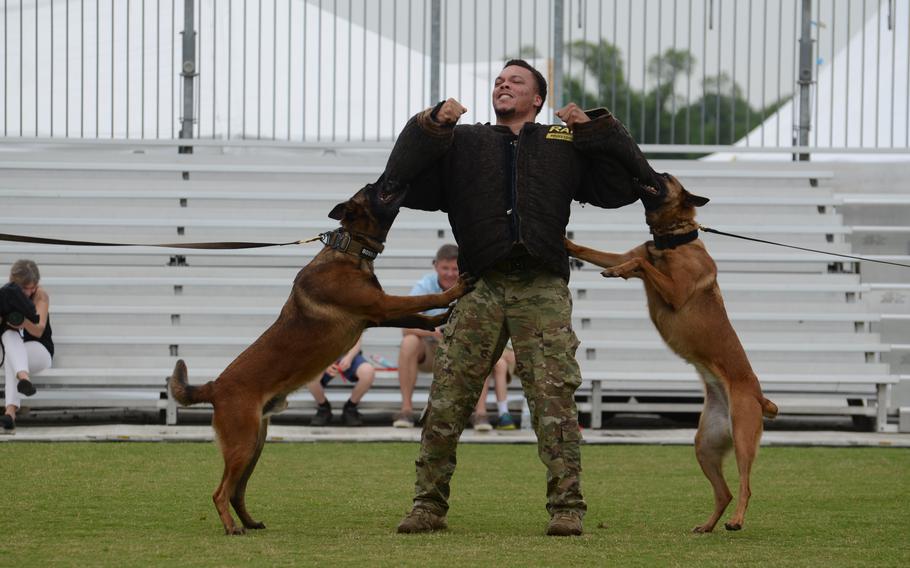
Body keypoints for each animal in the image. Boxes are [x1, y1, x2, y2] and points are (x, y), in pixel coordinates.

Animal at [167, 180, 474, 536]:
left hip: (255, 445)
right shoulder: (381, 306)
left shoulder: (377, 315)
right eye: (373, 189)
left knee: (236, 491)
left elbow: (419, 317)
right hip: (242, 444)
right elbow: (424, 298)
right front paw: (453, 293)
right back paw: (232, 528)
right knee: (220, 492)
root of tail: (214, 386)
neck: (350, 249)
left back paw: (249, 521)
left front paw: (442, 318)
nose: (386, 180)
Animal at [568, 172, 776, 532]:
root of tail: (758, 396)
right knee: (723, 492)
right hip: (705, 445)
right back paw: (707, 526)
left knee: (745, 486)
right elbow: (601, 252)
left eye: (666, 179)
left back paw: (736, 521)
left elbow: (640, 263)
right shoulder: (628, 254)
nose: (651, 171)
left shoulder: (676, 291)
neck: (672, 240)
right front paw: (568, 245)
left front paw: (621, 271)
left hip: (743, 436)